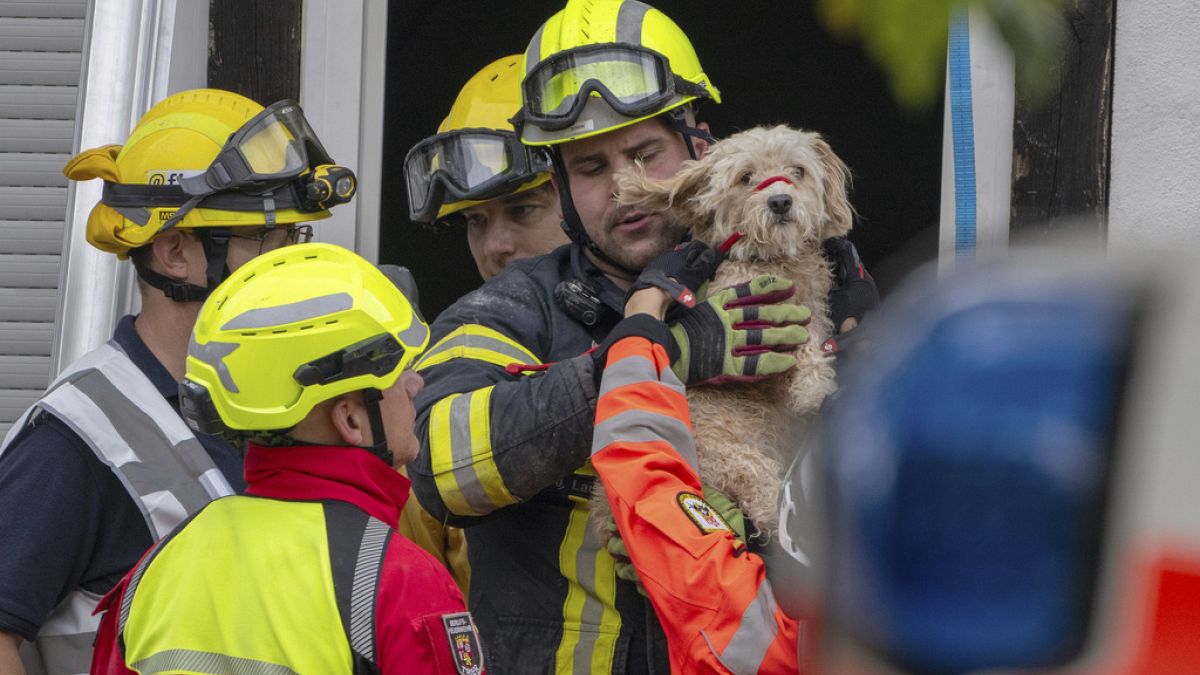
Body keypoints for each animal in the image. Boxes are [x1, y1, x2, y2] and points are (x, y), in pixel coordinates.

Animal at [595, 123, 849, 538]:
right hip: (739, 463)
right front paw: (813, 391)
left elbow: (815, 338)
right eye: (745, 178)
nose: (780, 201)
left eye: (797, 171)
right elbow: (804, 346)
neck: (769, 260)